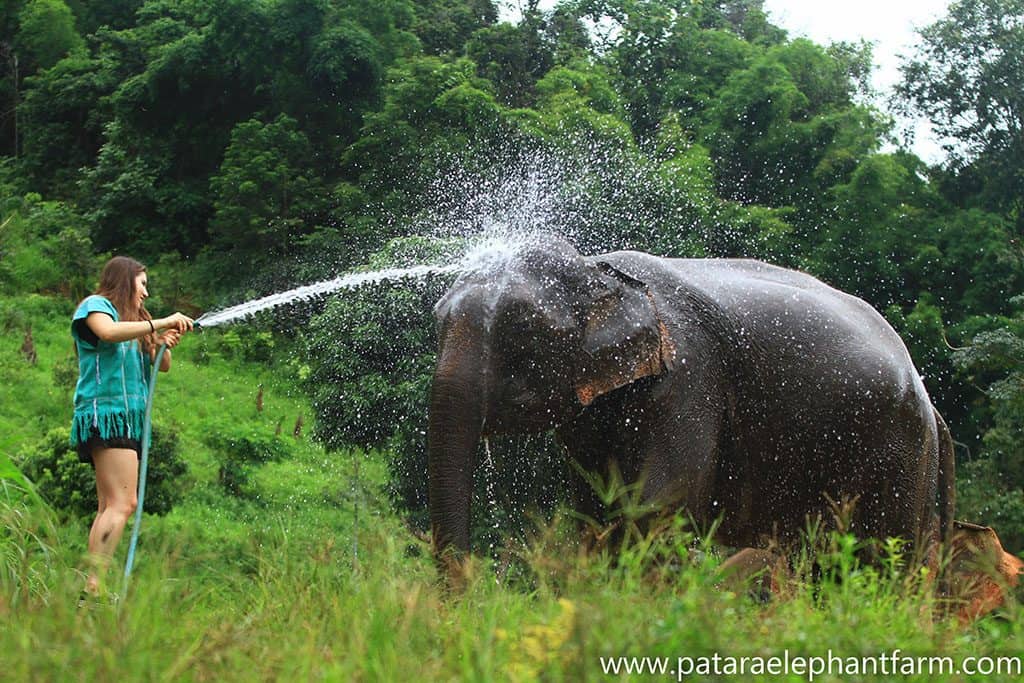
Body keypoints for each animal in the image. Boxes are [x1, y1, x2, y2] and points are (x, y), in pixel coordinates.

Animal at [423, 233, 950, 573]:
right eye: (437, 319)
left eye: (522, 328)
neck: (600, 270)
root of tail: (931, 402)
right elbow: (596, 508)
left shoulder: (690, 376)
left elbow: (659, 505)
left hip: (899, 454)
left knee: (881, 557)